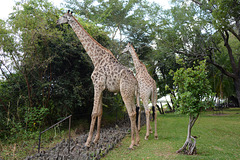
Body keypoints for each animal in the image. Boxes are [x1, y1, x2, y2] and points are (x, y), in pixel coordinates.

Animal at [57, 10, 140, 149]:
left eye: (63, 16)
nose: (57, 21)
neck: (95, 58)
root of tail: (135, 82)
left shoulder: (97, 84)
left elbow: (93, 113)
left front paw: (87, 142)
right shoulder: (102, 87)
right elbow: (100, 112)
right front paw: (96, 139)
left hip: (125, 92)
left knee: (132, 113)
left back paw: (132, 143)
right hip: (131, 93)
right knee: (135, 111)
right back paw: (136, 140)